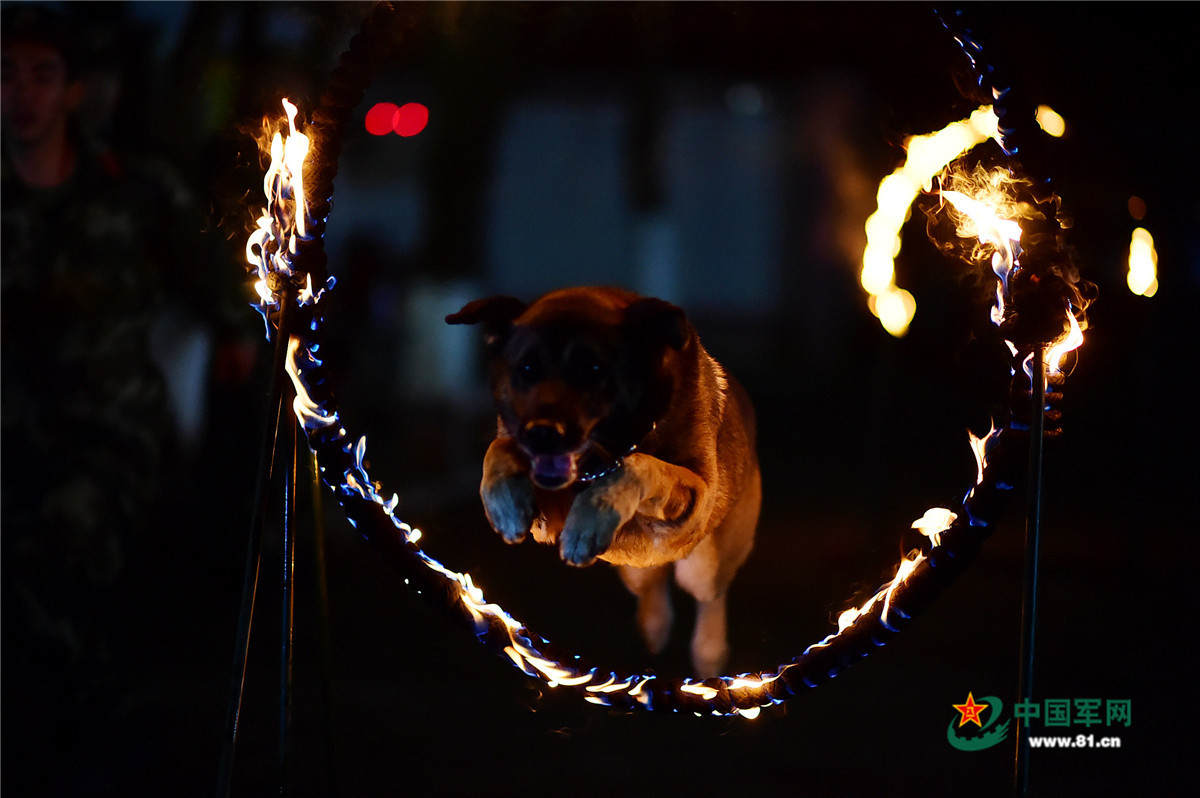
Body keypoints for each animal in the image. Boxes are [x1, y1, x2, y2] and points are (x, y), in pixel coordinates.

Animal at [451, 286, 758, 676]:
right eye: (527, 368)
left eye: (593, 369)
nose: (542, 434)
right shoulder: (546, 515)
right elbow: (499, 447)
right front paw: (505, 505)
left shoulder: (695, 498)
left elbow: (639, 466)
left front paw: (593, 516)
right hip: (636, 572)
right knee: (652, 582)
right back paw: (654, 627)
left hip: (704, 565)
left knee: (710, 596)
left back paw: (709, 651)